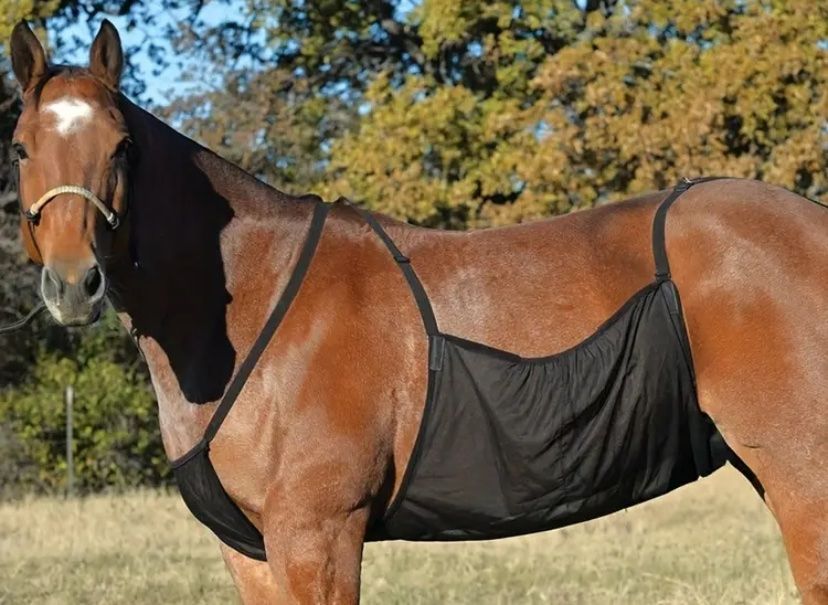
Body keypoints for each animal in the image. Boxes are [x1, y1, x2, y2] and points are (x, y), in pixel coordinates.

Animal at [8, 19, 827, 604]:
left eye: (121, 147)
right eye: (19, 148)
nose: (74, 284)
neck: (250, 310)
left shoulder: (317, 535)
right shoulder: (252, 551)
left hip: (802, 479)